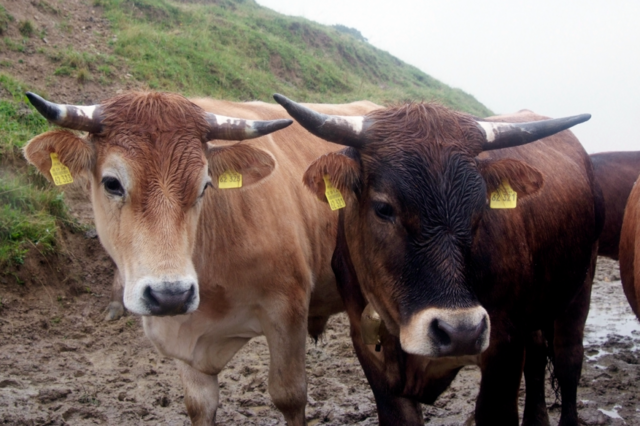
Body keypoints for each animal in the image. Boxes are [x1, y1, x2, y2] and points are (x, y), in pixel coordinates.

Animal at [22, 91, 380, 424]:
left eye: (205, 186)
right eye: (112, 183)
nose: (170, 294)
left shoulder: (287, 311)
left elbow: (289, 395)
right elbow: (199, 404)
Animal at [276, 94, 604, 426]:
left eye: (481, 209)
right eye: (383, 208)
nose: (461, 332)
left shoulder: (505, 346)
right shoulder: (371, 353)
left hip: (580, 287)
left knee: (568, 361)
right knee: (537, 357)